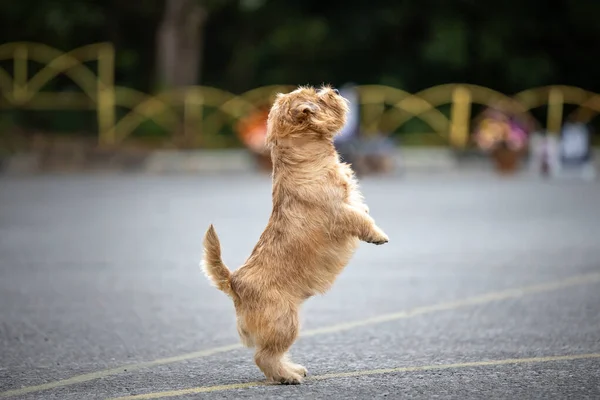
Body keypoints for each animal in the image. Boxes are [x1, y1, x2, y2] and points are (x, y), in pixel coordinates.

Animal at [202, 85, 390, 384]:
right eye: (318, 98)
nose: (333, 90)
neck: (304, 159)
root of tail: (234, 283)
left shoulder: (348, 199)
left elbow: (361, 206)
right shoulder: (338, 212)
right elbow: (361, 219)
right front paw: (377, 235)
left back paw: (292, 369)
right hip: (285, 322)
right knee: (264, 356)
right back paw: (287, 377)